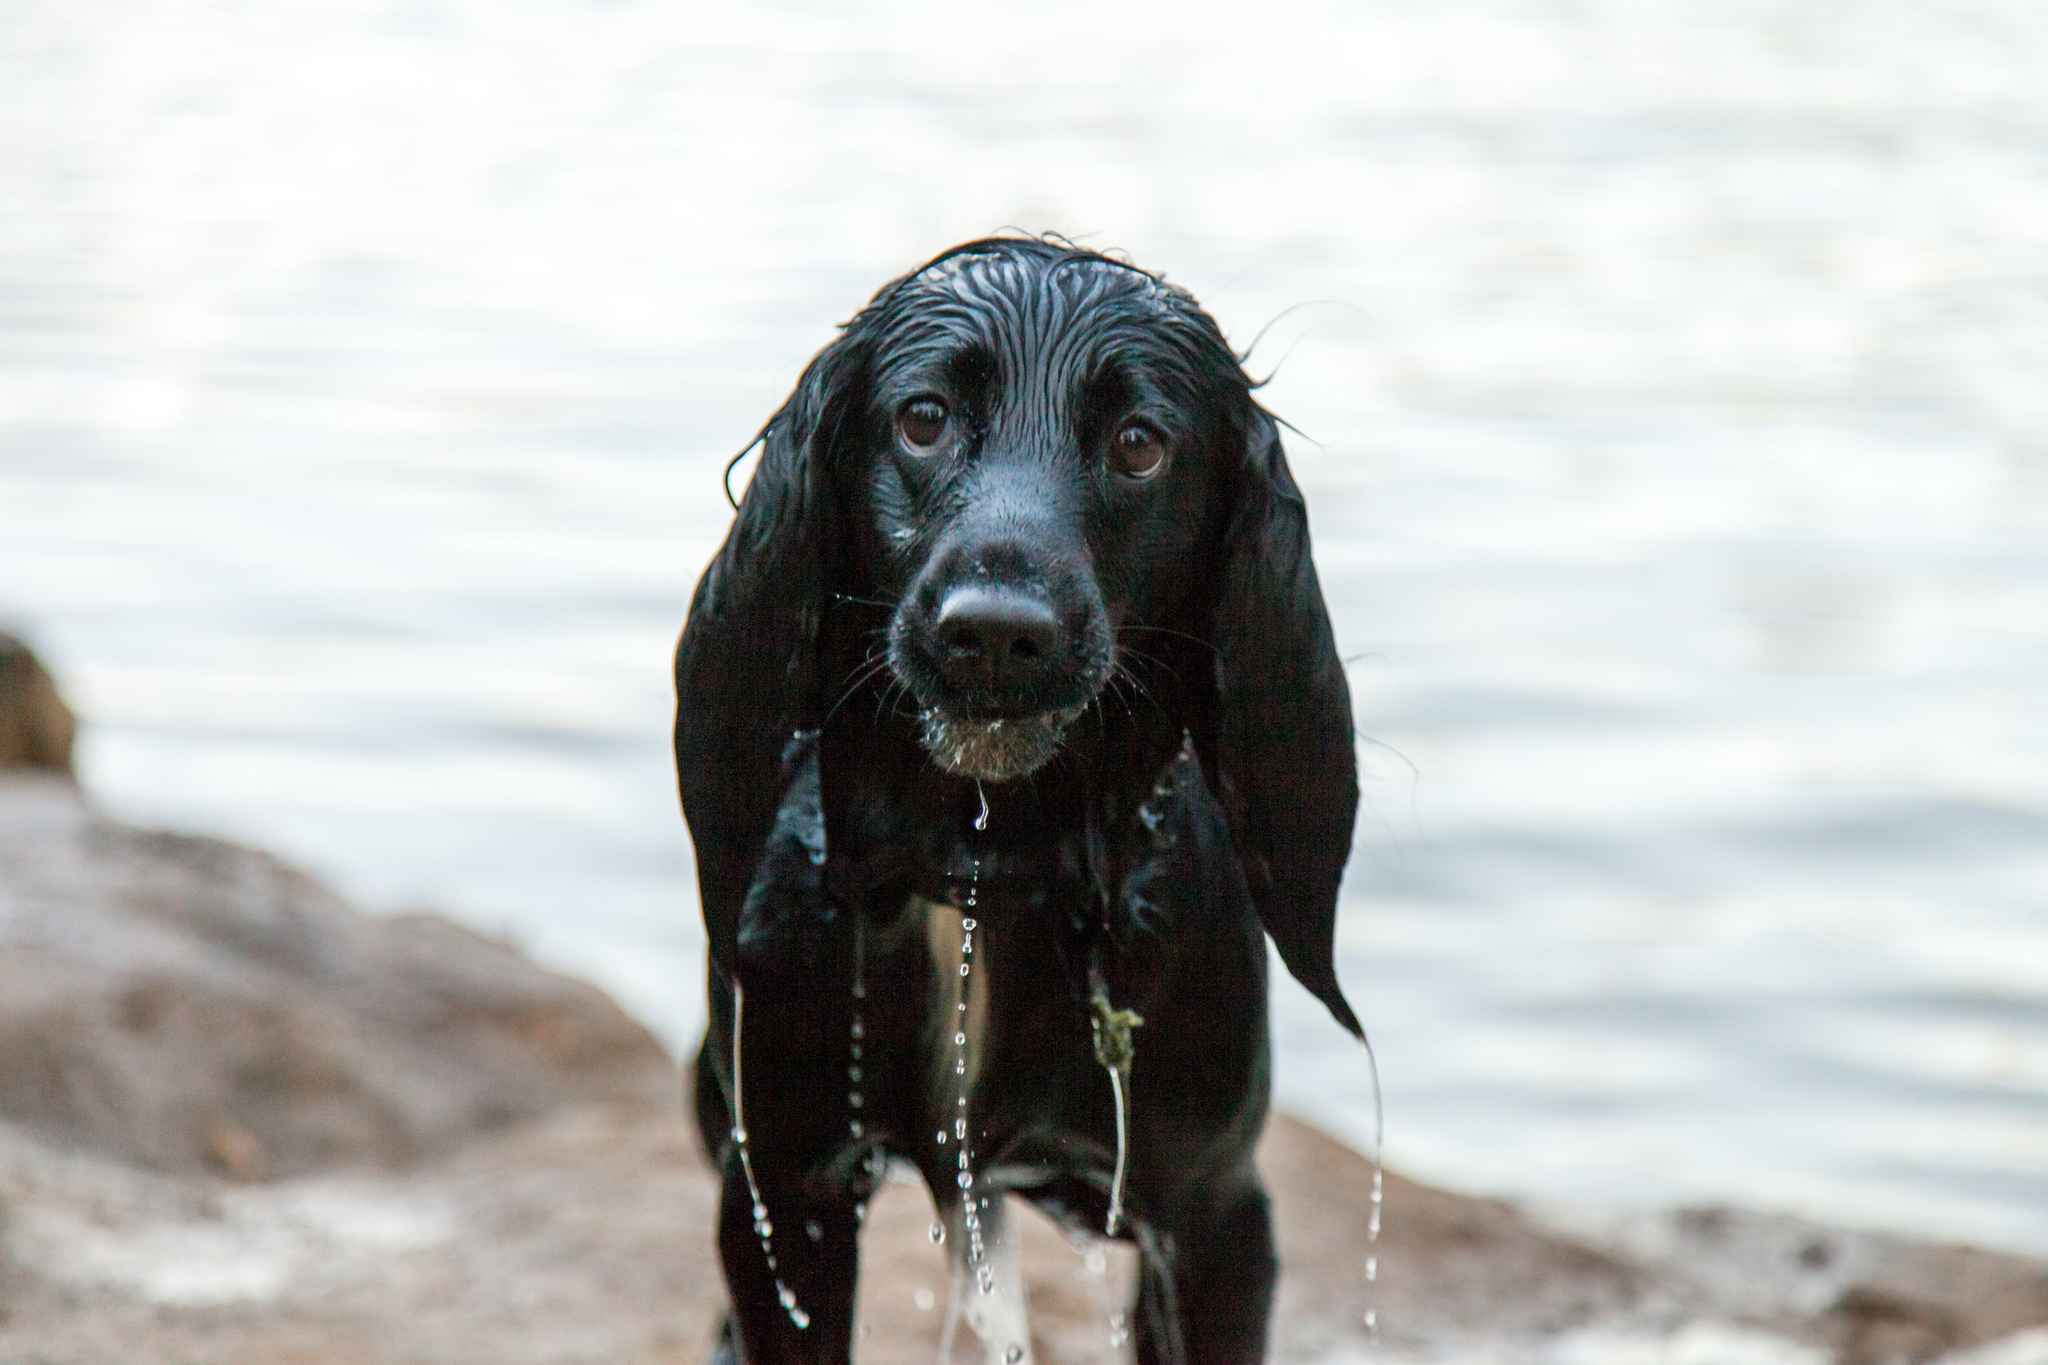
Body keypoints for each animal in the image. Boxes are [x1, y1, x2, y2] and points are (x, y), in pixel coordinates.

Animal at [671, 240, 1368, 1358]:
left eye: (1138, 444)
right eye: (922, 418)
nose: (995, 632)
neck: (982, 869)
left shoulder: (1215, 1215)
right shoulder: (785, 1188)